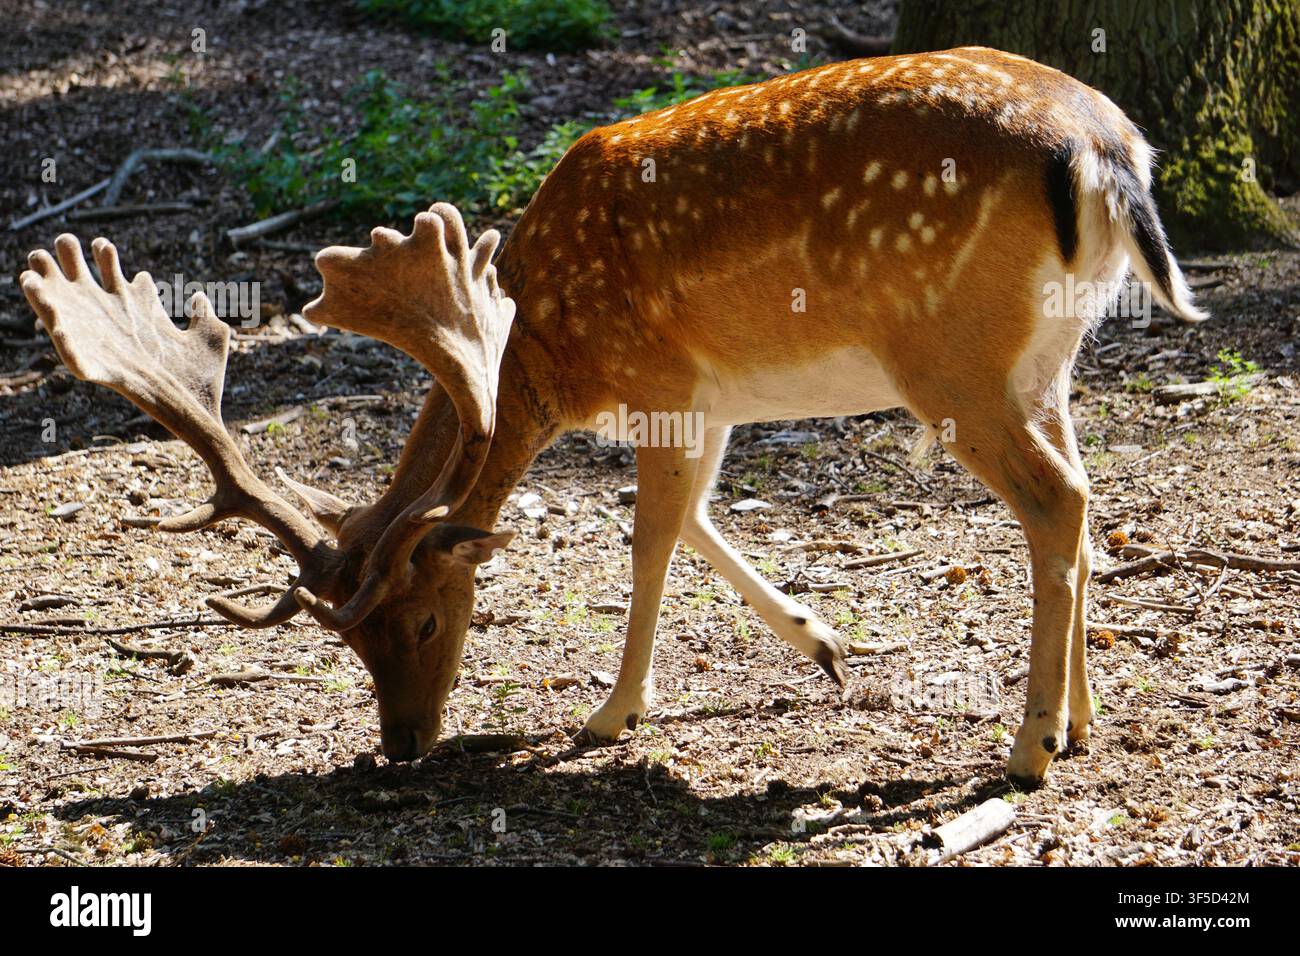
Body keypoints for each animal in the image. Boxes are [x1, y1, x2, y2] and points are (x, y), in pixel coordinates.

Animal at [20, 47, 1206, 787]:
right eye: (348, 644)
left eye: (418, 623)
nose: (401, 743)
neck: (547, 350)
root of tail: (1107, 154)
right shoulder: (713, 397)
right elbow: (698, 523)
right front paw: (824, 643)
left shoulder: (661, 381)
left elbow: (648, 538)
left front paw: (609, 714)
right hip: (1046, 359)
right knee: (1085, 496)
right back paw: (1081, 721)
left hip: (951, 357)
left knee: (1055, 500)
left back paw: (1028, 747)